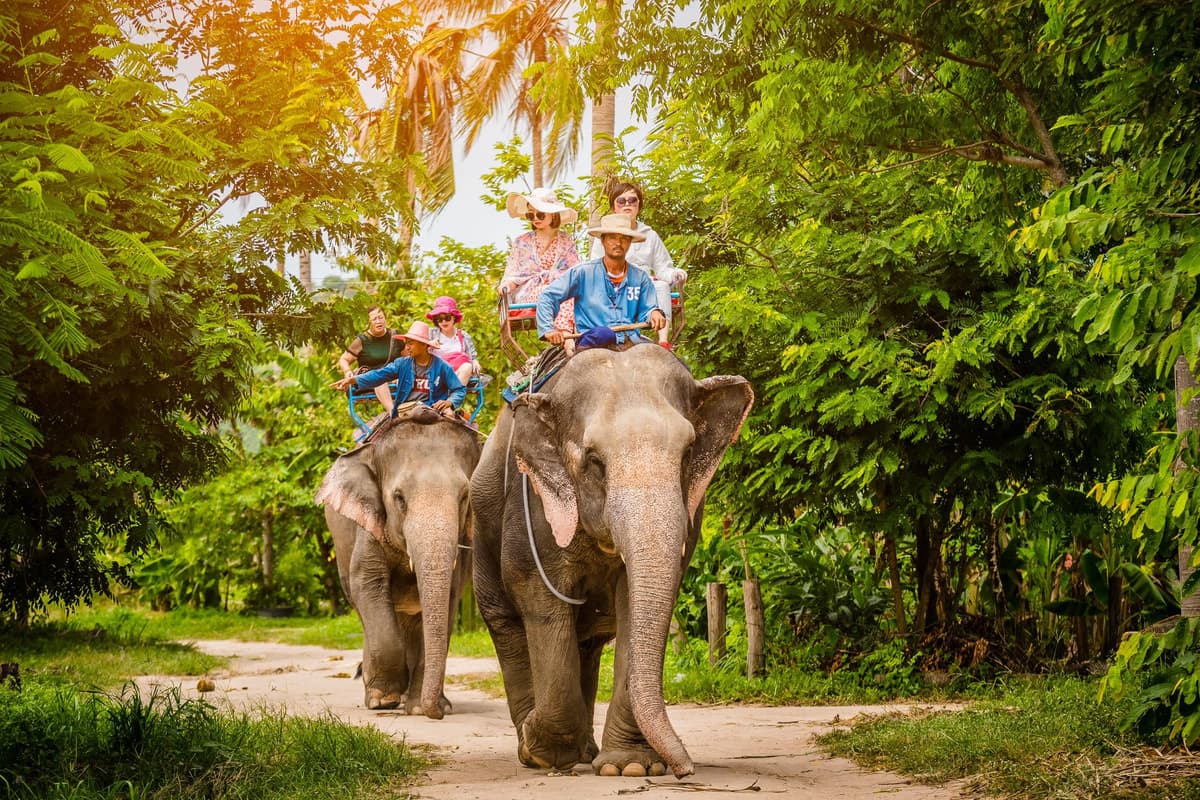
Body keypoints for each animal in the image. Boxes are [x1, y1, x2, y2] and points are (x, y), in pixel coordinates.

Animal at [315, 405, 480, 718]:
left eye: (465, 496)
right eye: (399, 498)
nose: (438, 713)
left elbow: (449, 598)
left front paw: (419, 708)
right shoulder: (369, 526)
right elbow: (367, 584)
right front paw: (384, 700)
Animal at [470, 343, 753, 778]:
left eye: (688, 454)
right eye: (594, 461)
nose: (686, 769)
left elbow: (634, 605)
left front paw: (630, 767)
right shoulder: (530, 503)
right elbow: (539, 595)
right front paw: (545, 749)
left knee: (585, 644)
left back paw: (583, 751)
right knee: (506, 624)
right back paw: (532, 749)